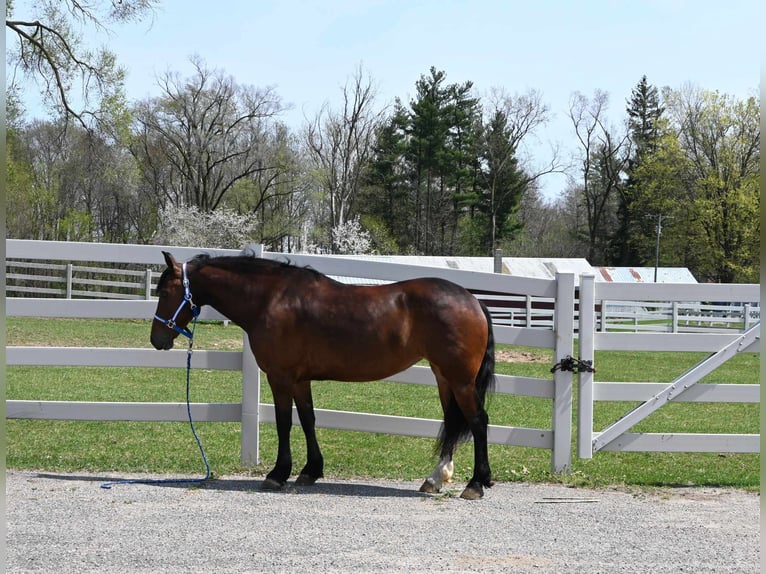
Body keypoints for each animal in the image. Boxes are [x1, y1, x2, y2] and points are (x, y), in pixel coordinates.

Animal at [150, 252, 498, 500]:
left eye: (165, 291)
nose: (157, 339)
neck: (271, 300)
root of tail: (473, 300)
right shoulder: (300, 379)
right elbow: (308, 419)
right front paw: (310, 471)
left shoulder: (280, 377)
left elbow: (284, 422)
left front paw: (278, 474)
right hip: (444, 377)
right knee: (452, 420)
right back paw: (435, 479)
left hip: (460, 380)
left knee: (478, 420)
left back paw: (476, 484)